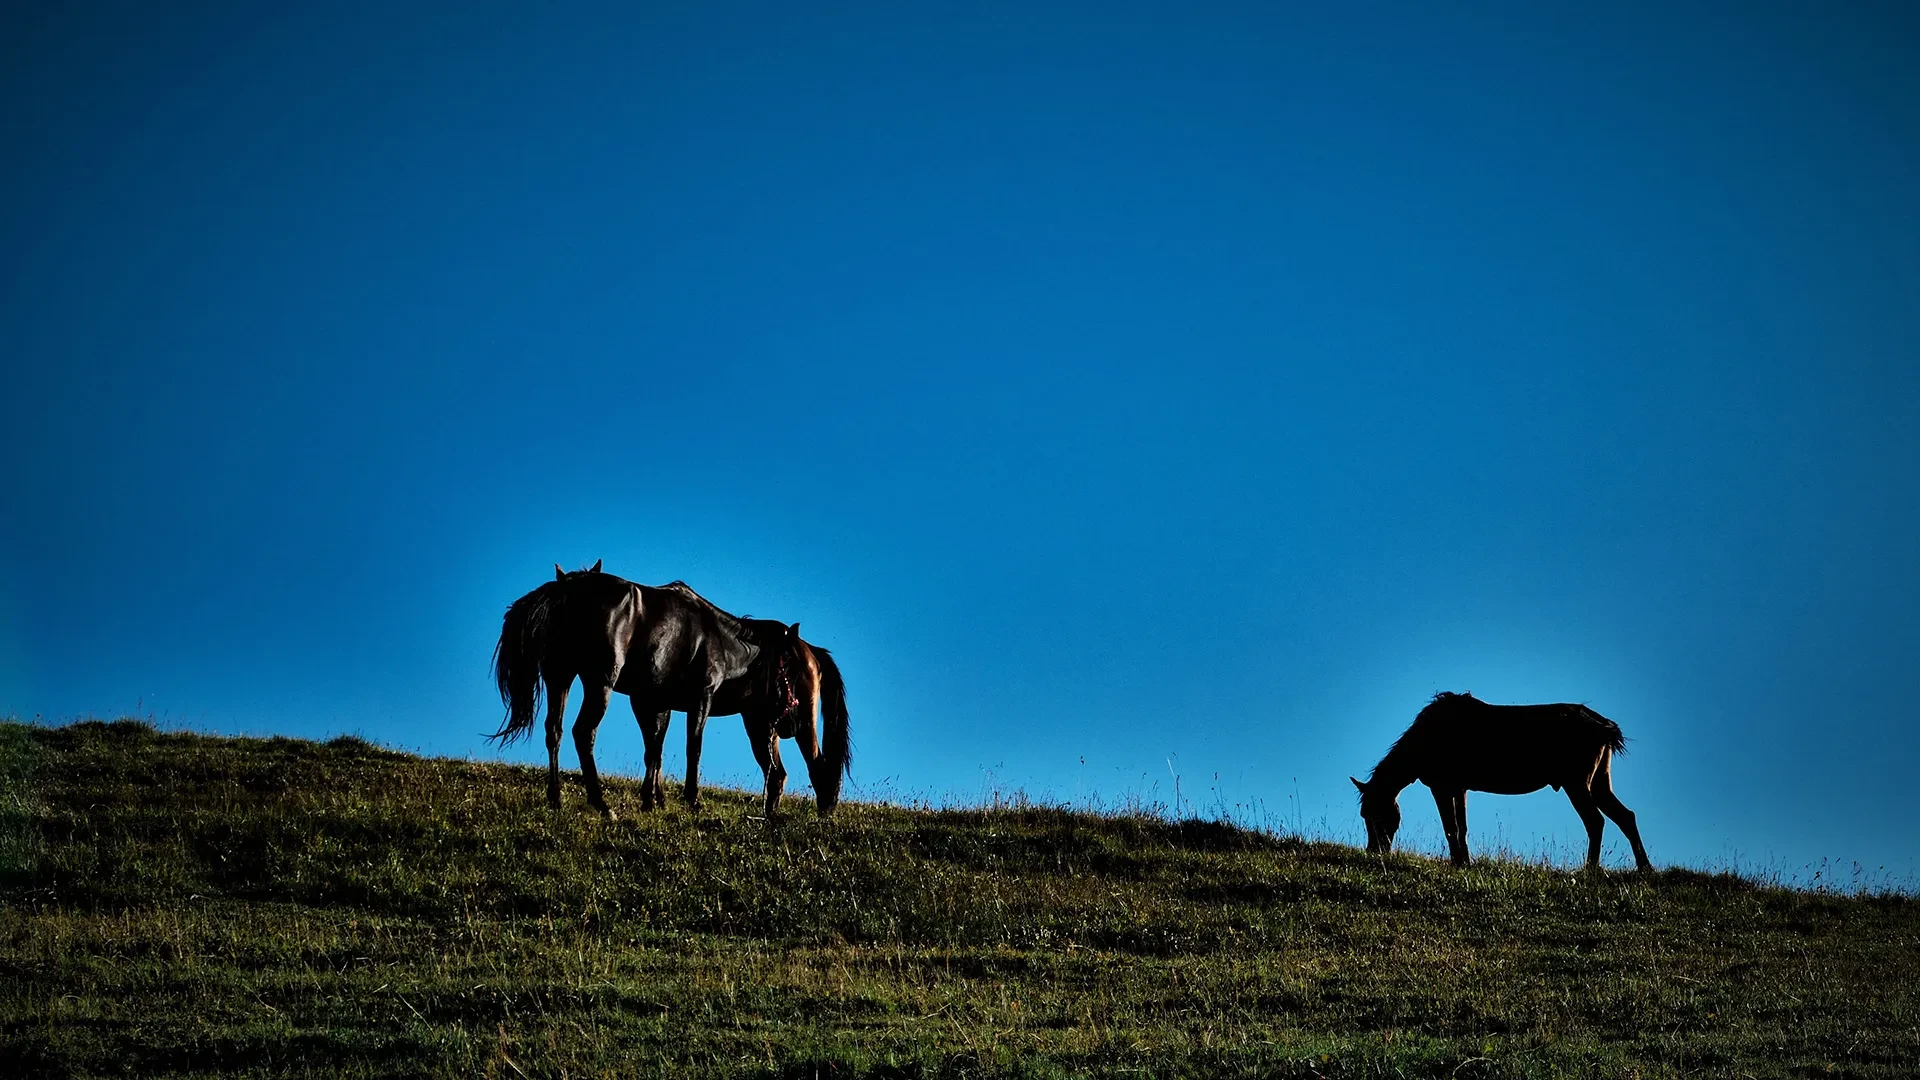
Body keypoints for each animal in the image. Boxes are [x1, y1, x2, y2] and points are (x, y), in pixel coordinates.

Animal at [1351, 687, 1651, 864]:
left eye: (1374, 815)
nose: (1374, 851)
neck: (1425, 739)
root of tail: (1604, 725)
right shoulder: (1459, 788)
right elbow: (1461, 827)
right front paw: (1465, 862)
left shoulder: (1441, 786)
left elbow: (1450, 827)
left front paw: (1457, 861)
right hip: (1599, 782)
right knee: (1626, 817)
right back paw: (1644, 867)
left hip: (1576, 783)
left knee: (1596, 822)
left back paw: (1590, 870)